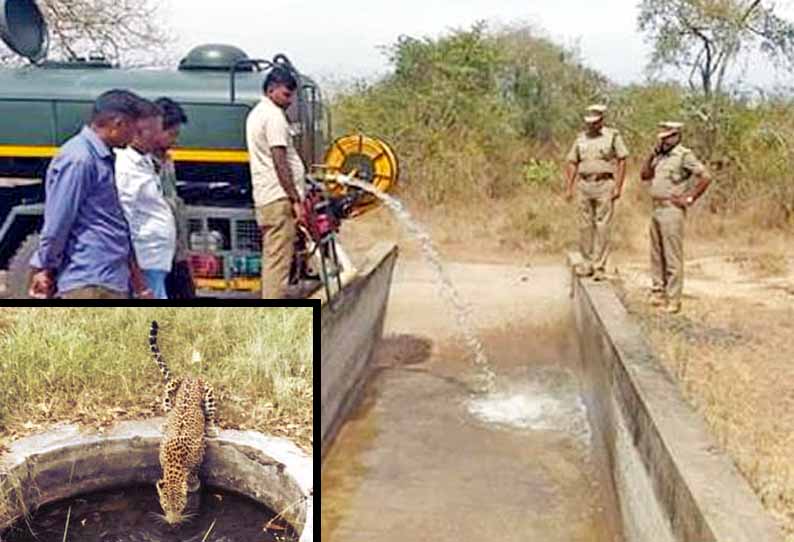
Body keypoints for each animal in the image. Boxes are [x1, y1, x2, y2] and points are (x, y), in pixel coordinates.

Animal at [146, 320, 218, 524]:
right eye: (164, 507)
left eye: (180, 507)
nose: (173, 523)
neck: (175, 461)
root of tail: (189, 378)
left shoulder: (200, 452)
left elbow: (194, 471)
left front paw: (192, 484)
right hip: (170, 388)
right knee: (167, 405)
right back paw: (165, 421)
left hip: (208, 392)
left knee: (210, 414)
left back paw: (211, 427)